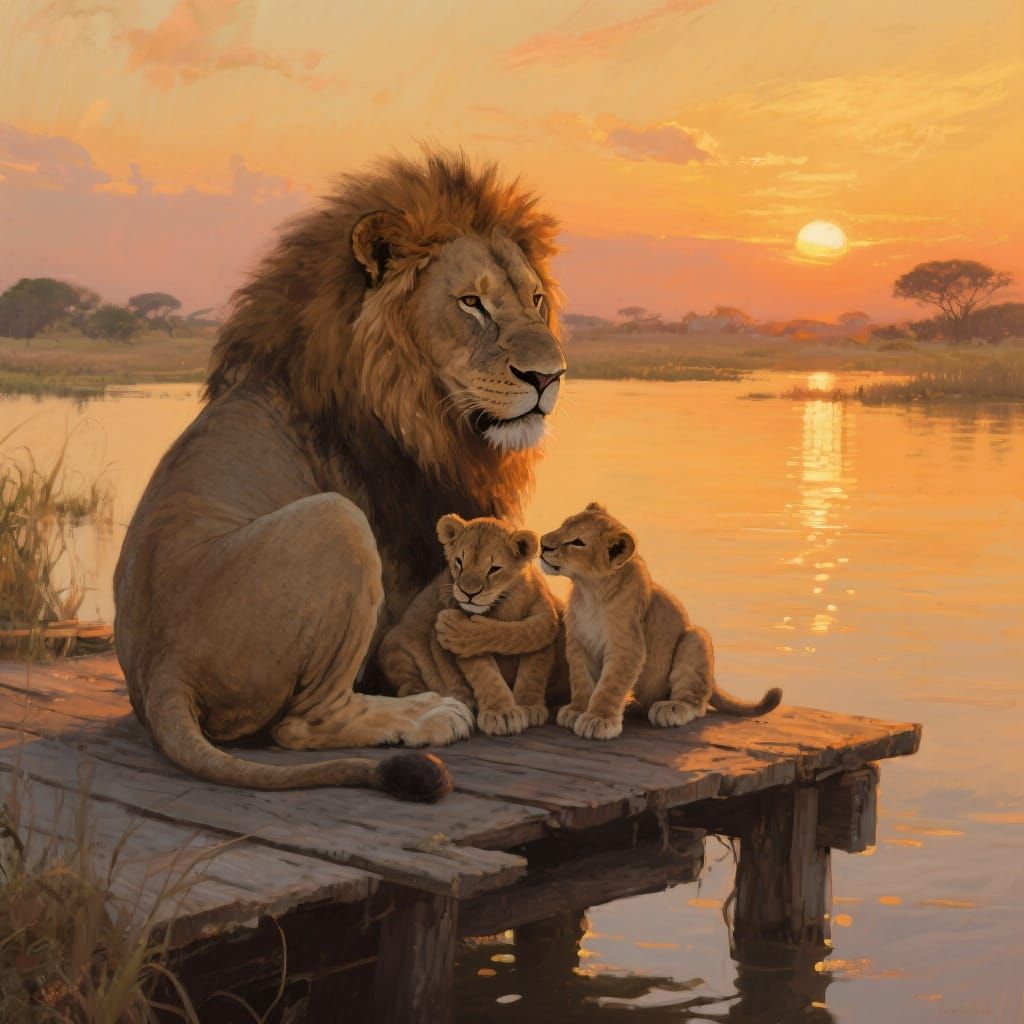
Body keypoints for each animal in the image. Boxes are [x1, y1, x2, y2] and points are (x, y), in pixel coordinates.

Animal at [378, 514, 559, 736]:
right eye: (459, 562)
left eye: (494, 569)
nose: (468, 593)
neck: (503, 602)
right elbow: (486, 675)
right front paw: (502, 714)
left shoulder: (543, 616)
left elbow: (533, 664)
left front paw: (529, 706)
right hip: (397, 648)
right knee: (410, 687)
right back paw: (452, 699)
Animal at [539, 503, 782, 741]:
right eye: (563, 525)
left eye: (578, 542)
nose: (542, 544)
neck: (590, 591)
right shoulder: (578, 643)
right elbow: (581, 679)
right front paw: (577, 710)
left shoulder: (628, 646)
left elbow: (609, 685)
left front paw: (598, 719)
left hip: (695, 638)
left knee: (697, 701)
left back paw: (671, 708)